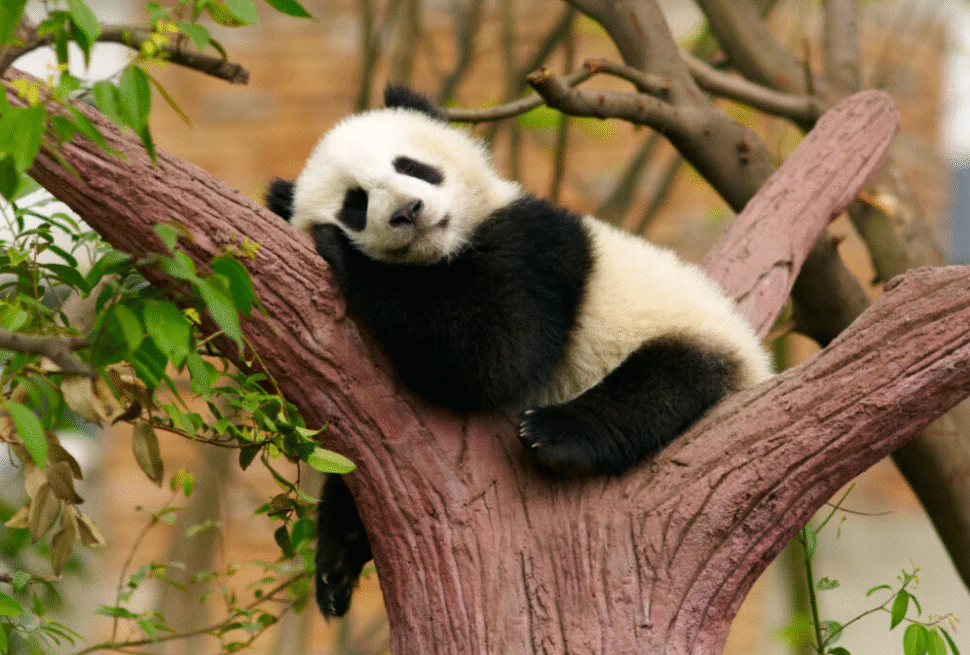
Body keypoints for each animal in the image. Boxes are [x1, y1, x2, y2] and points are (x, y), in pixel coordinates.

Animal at [266, 85, 773, 617]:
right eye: (356, 203)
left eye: (412, 166)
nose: (408, 210)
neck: (442, 252)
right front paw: (337, 556)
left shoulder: (533, 246)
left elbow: (495, 352)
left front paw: (341, 251)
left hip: (689, 332)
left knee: (662, 384)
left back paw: (555, 433)